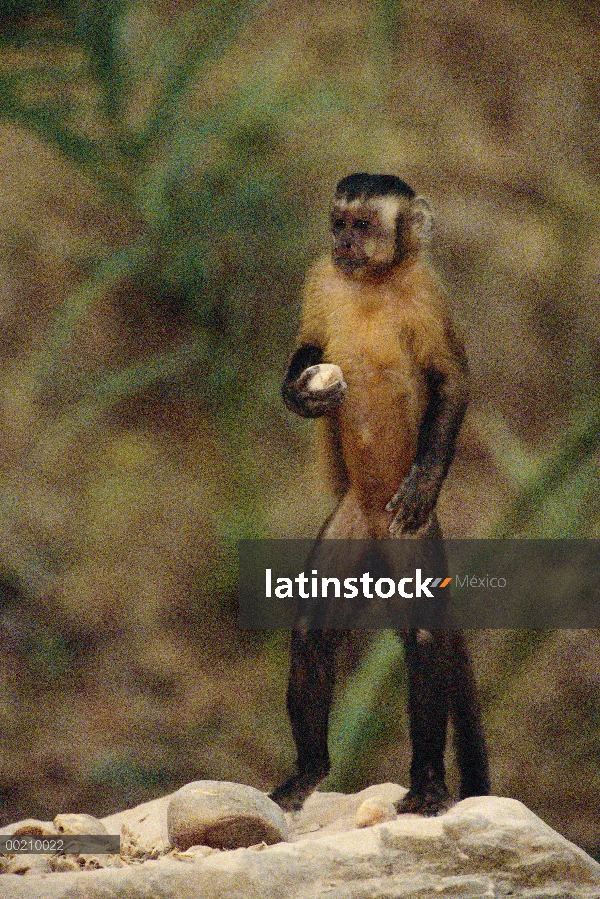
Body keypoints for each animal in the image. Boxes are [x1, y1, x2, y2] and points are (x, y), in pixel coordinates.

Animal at [270, 174, 490, 816]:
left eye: (363, 225)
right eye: (338, 223)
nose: (343, 242)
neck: (373, 281)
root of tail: (371, 520)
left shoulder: (429, 291)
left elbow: (453, 380)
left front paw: (424, 479)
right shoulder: (321, 275)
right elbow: (307, 345)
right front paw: (301, 391)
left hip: (406, 534)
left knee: (424, 638)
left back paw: (428, 784)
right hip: (349, 523)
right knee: (313, 630)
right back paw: (308, 770)